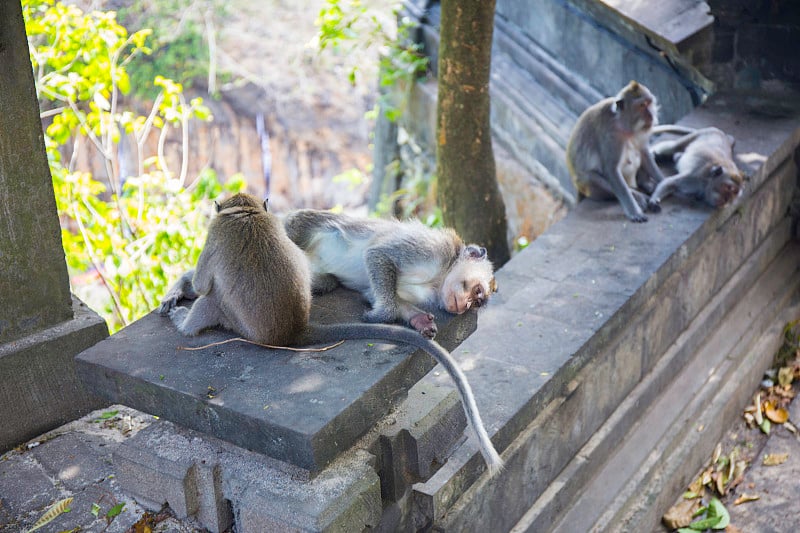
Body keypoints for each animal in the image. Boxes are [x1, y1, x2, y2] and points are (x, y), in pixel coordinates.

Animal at [280, 210, 494, 338]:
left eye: (476, 303)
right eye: (477, 291)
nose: (466, 305)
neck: (440, 278)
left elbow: (372, 294)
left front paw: (418, 319)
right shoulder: (435, 250)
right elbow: (378, 254)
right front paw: (384, 315)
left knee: (326, 282)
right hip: (298, 226)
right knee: (300, 222)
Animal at [564, 79, 664, 222]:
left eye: (649, 103)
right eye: (641, 105)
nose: (650, 115)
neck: (623, 124)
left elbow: (645, 154)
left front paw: (665, 183)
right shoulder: (610, 136)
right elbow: (611, 170)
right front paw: (635, 212)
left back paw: (646, 184)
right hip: (588, 188)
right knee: (590, 177)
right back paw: (638, 196)